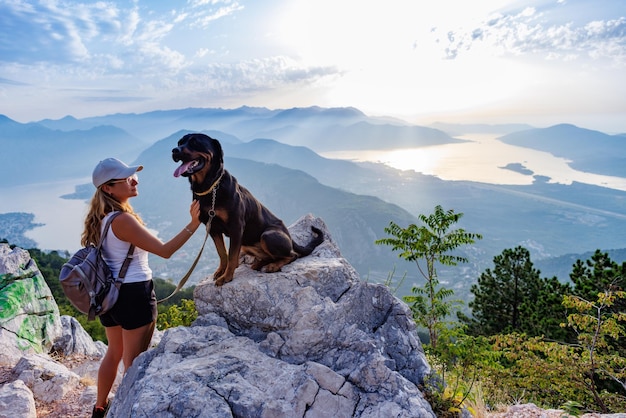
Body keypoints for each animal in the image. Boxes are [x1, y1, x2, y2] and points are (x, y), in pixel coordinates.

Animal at [173, 132, 324, 286]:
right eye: (179, 142)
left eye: (195, 142)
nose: (175, 150)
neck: (211, 187)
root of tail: (290, 237)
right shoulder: (212, 228)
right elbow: (222, 253)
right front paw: (221, 271)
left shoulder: (236, 227)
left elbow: (232, 256)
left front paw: (227, 277)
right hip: (246, 243)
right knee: (270, 256)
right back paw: (259, 264)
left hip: (267, 235)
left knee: (292, 255)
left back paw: (272, 266)